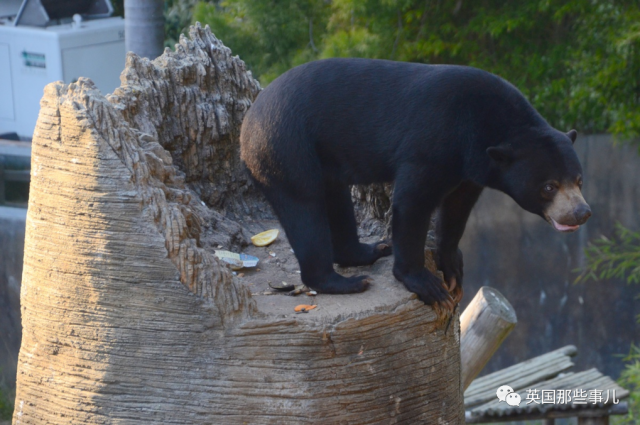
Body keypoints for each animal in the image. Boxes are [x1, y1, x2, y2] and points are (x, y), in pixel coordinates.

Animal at [239, 58, 592, 306]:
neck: (483, 131)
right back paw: (345, 282)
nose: (582, 213)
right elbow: (412, 202)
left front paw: (452, 267)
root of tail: (248, 123)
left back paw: (369, 251)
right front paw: (427, 284)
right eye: (548, 187)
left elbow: (457, 209)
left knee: (335, 200)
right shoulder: (433, 141)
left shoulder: (469, 168)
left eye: (578, 180)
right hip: (288, 147)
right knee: (305, 208)